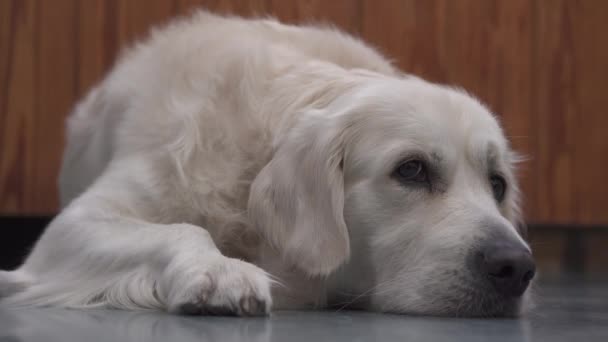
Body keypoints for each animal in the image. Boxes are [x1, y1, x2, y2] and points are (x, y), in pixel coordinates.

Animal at [0, 11, 532, 318]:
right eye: (412, 169)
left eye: (498, 184)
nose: (517, 267)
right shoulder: (74, 225)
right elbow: (183, 228)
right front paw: (219, 270)